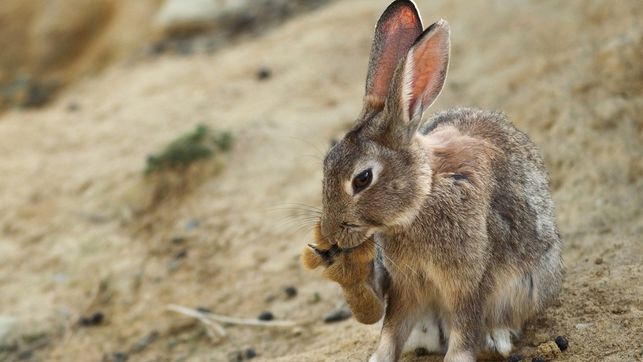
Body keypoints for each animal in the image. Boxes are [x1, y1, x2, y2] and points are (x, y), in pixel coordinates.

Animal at [302, 0, 564, 362]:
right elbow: (392, 330)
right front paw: (378, 357)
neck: (423, 195)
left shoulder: (468, 282)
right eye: (327, 163)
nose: (330, 233)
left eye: (362, 179)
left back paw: (497, 338)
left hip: (531, 282)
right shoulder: (406, 286)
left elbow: (464, 331)